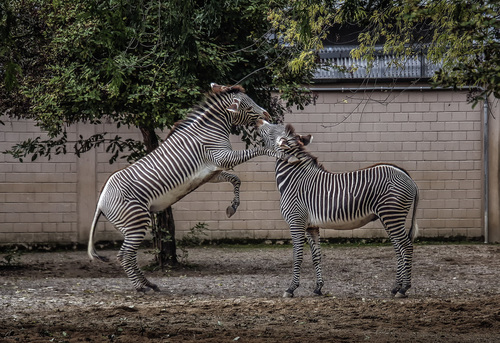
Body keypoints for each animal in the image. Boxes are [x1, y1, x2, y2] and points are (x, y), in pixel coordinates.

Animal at [86, 84, 290, 292]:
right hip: (137, 221)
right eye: (248, 106)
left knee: (127, 255)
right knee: (125, 255)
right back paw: (142, 287)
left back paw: (149, 284)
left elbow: (236, 180)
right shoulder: (222, 157)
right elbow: (258, 150)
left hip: (130, 226)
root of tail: (101, 201)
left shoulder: (212, 172)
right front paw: (279, 153)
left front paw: (232, 207)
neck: (212, 130)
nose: (267, 114)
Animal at [268, 123, 420, 298]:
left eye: (271, 133)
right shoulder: (311, 226)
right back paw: (396, 287)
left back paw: (404, 288)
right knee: (399, 248)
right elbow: (316, 256)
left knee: (406, 247)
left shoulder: (296, 222)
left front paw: (291, 288)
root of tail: (408, 177)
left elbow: (297, 256)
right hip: (389, 217)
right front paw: (318, 287)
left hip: (392, 215)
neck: (294, 179)